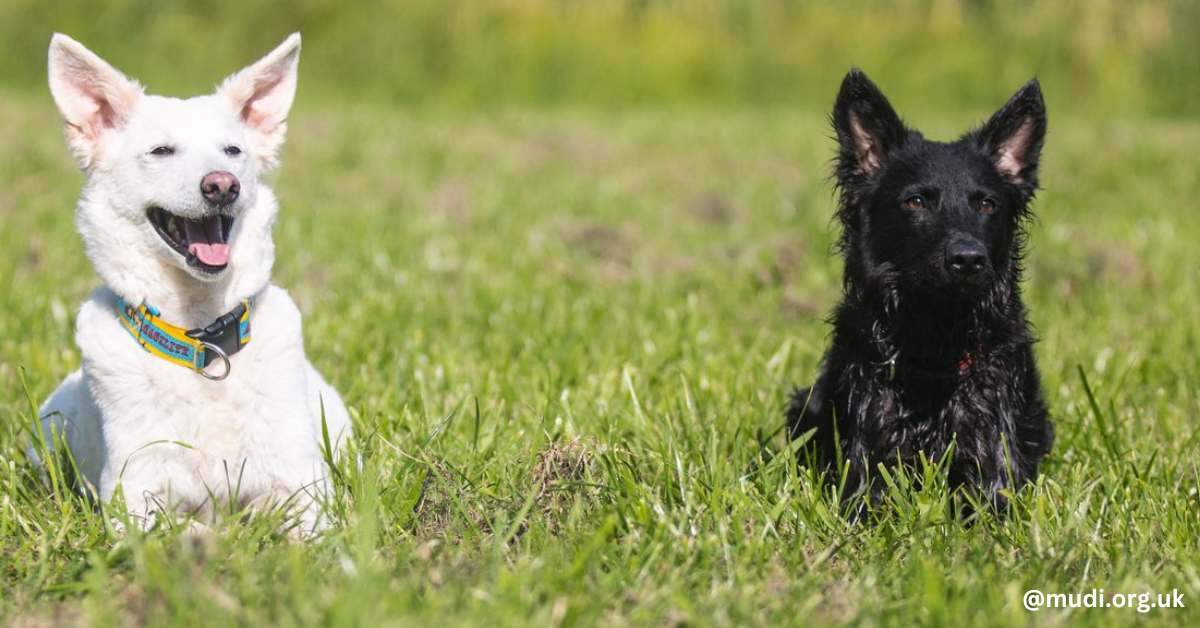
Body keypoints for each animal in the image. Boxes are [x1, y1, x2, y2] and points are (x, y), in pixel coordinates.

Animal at [34, 33, 350, 535]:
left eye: (233, 152)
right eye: (161, 151)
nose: (223, 185)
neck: (203, 338)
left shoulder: (306, 488)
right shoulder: (133, 496)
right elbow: (181, 532)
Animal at [792, 69, 1056, 511]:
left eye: (987, 204)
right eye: (916, 201)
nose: (968, 259)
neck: (937, 340)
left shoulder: (993, 467)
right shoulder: (866, 469)